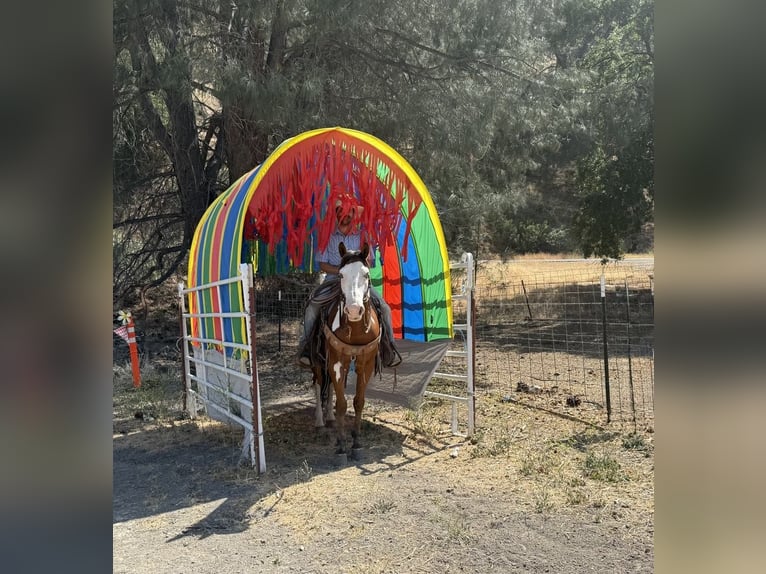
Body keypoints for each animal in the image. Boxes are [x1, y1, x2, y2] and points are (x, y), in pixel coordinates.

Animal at [311, 242, 381, 456]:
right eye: (341, 275)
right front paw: (341, 444)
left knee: (332, 387)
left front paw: (356, 441)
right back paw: (320, 421)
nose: (354, 311)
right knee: (318, 385)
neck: (355, 329)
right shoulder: (336, 361)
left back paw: (330, 418)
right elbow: (342, 404)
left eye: (366, 274)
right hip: (318, 362)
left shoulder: (365, 363)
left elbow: (358, 401)